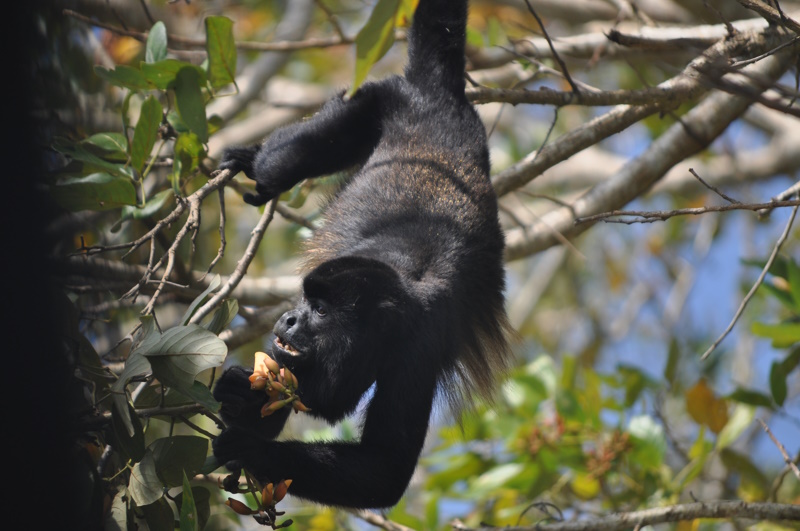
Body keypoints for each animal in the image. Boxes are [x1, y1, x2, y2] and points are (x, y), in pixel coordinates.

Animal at [212, 0, 512, 510]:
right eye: (305, 302)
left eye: (319, 310)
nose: (289, 318)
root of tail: (437, 97)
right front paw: (240, 400)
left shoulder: (419, 345)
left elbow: (382, 470)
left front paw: (250, 447)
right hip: (375, 97)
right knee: (286, 159)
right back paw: (257, 162)